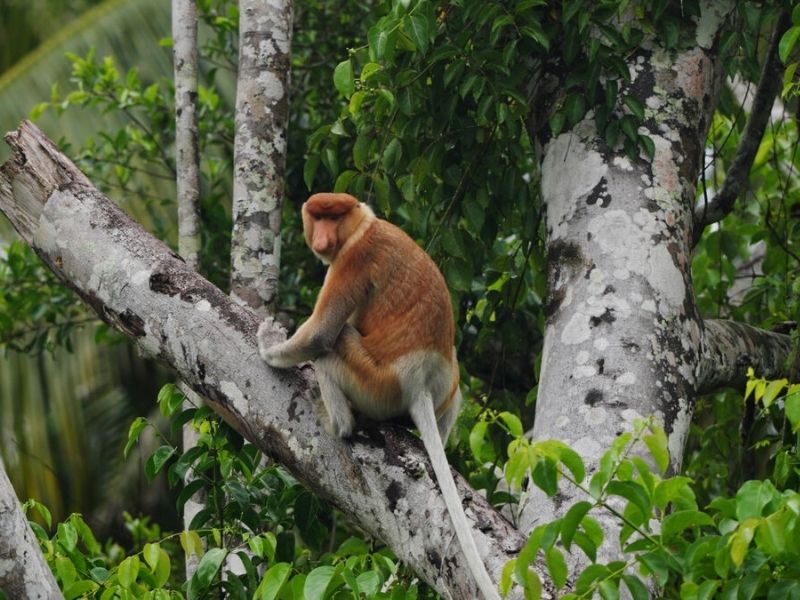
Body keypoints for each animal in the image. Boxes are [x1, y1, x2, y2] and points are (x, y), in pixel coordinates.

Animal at [257, 192, 500, 600]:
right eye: (317, 216)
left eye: (333, 217)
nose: (322, 237)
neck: (363, 225)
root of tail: (417, 383)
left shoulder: (353, 259)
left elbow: (320, 334)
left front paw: (266, 343)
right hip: (444, 384)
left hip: (374, 382)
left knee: (334, 344)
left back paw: (336, 422)